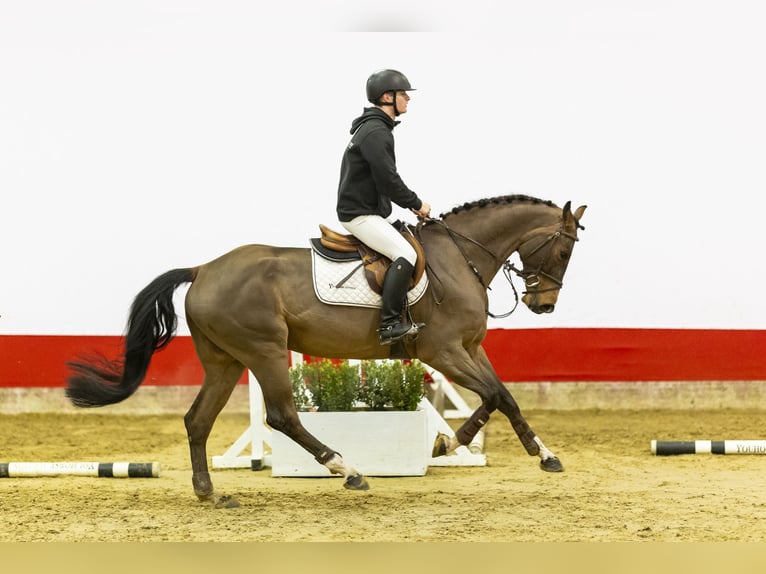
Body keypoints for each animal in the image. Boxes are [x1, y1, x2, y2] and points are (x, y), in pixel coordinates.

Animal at [66, 196, 588, 510]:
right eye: (564, 252)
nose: (543, 305)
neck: (460, 258)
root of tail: (202, 269)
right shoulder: (443, 351)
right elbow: (495, 396)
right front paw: (449, 444)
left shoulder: (469, 348)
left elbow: (504, 396)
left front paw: (541, 454)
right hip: (264, 351)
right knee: (281, 416)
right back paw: (347, 469)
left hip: (225, 361)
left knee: (198, 421)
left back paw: (209, 493)